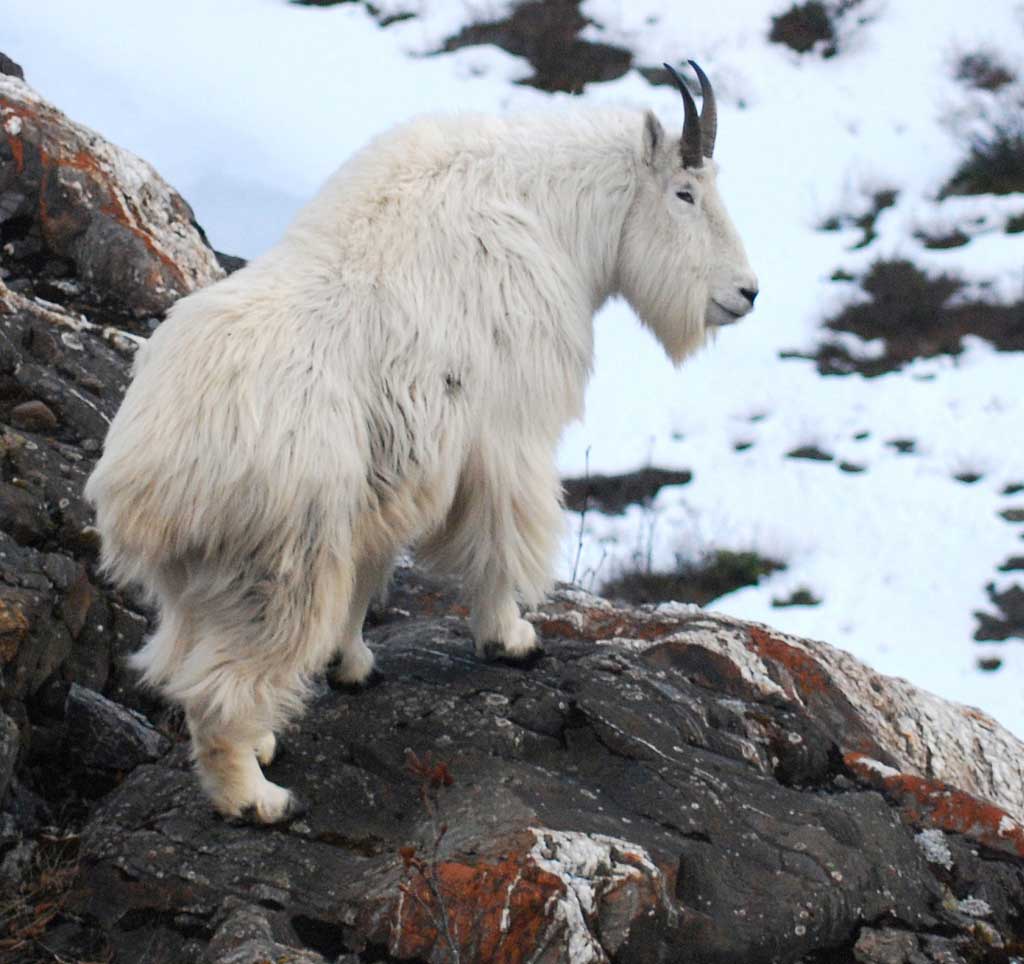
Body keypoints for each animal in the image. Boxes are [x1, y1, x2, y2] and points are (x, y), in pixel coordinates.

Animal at [83, 61, 757, 819]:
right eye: (685, 192)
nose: (746, 292)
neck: (551, 213)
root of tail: (146, 476)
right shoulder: (504, 434)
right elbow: (499, 540)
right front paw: (512, 639)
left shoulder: (396, 474)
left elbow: (371, 573)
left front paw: (353, 666)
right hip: (282, 562)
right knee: (221, 689)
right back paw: (258, 798)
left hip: (200, 582)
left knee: (182, 661)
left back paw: (262, 745)